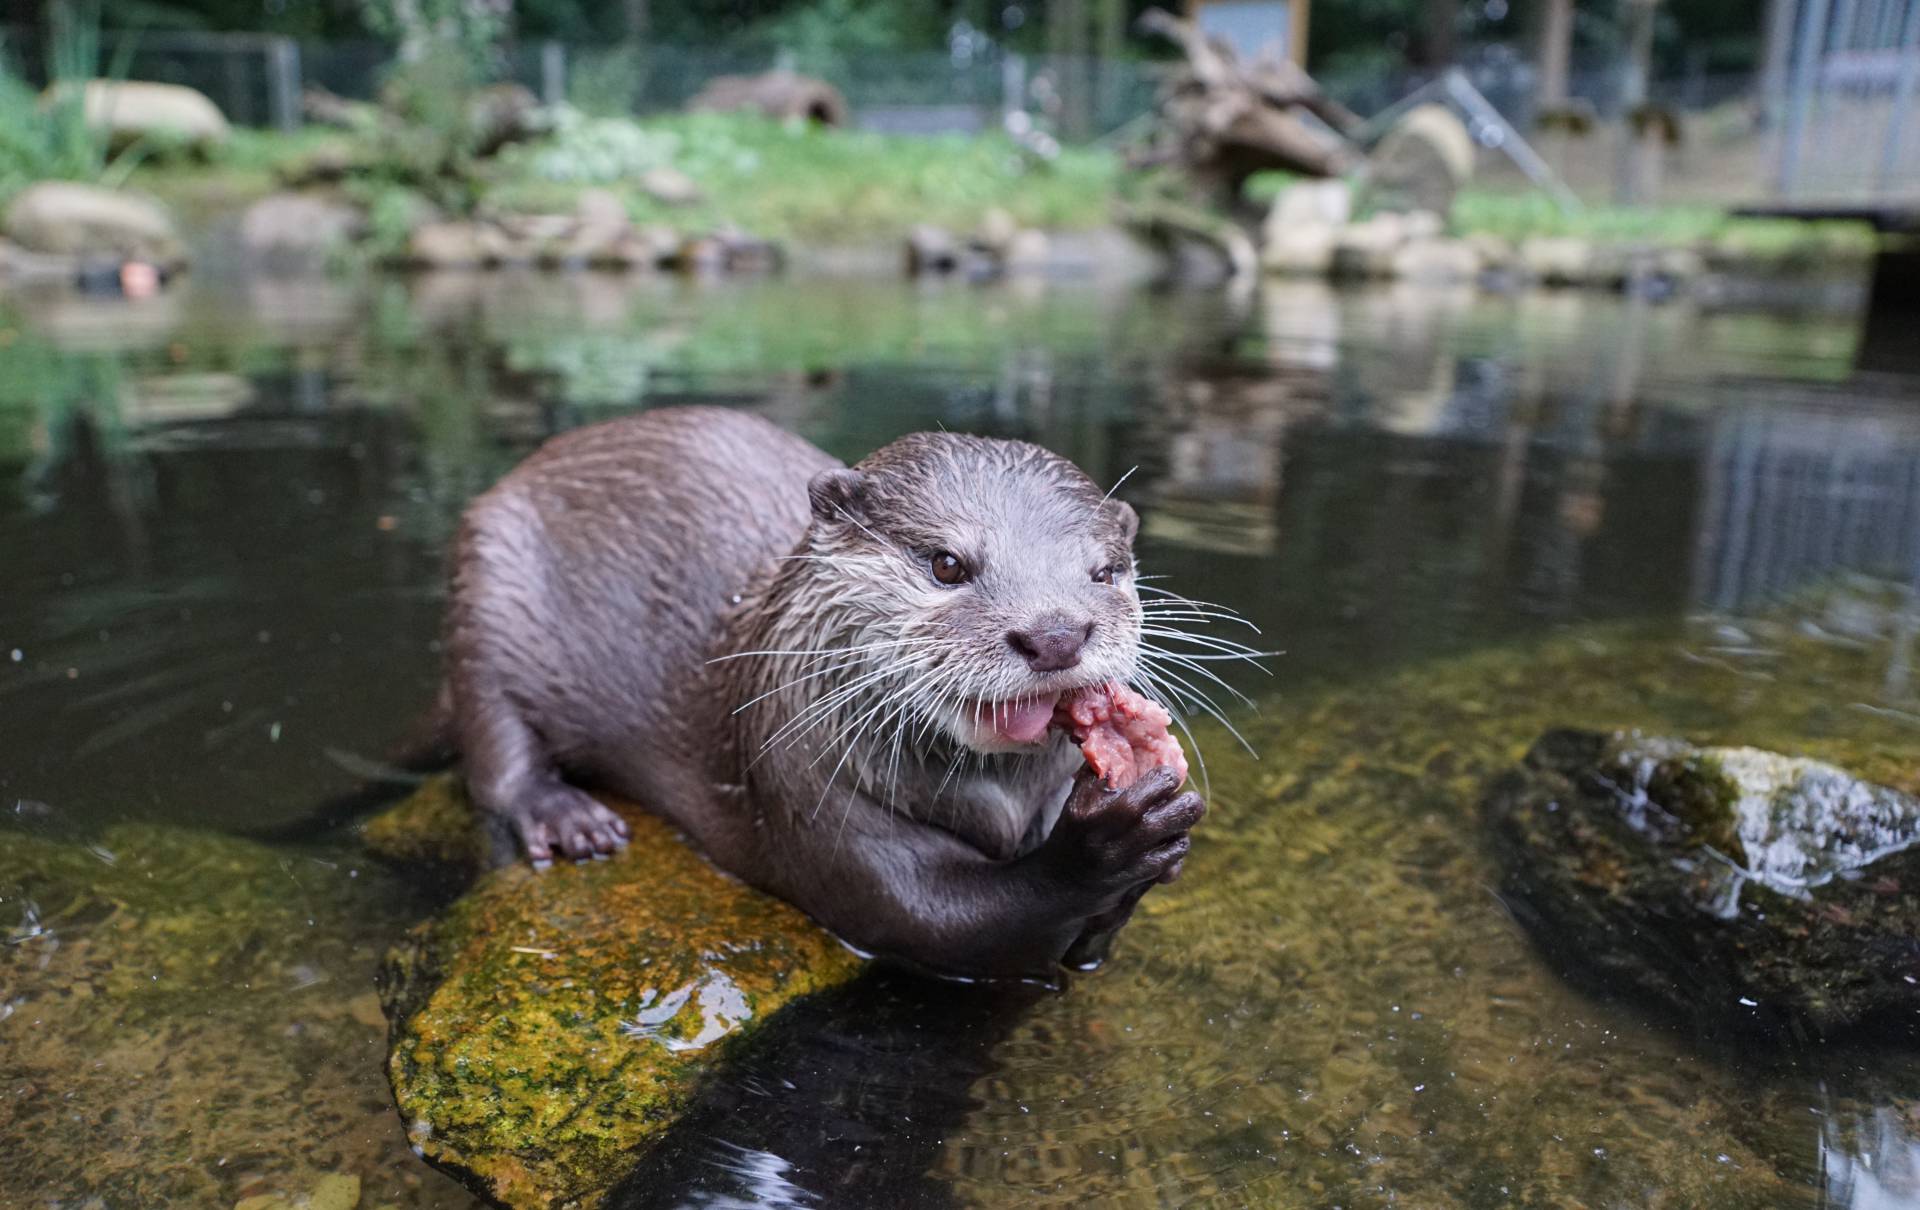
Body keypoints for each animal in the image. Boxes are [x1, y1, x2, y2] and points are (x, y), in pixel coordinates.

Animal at [445, 406, 1203, 979]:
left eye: (1104, 572)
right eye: (947, 563)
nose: (1054, 633)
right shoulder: (811, 793)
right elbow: (933, 918)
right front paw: (1106, 844)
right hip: (489, 585)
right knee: (493, 746)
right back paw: (569, 819)